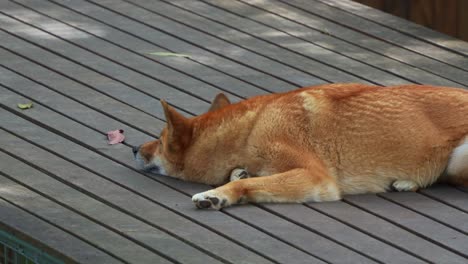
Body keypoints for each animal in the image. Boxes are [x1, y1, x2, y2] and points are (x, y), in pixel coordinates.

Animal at [132, 83, 468, 209]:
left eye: (160, 141)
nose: (134, 148)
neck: (249, 130)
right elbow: (246, 176)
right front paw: (239, 174)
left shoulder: (315, 177)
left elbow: (247, 184)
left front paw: (218, 194)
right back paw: (405, 181)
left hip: (460, 158)